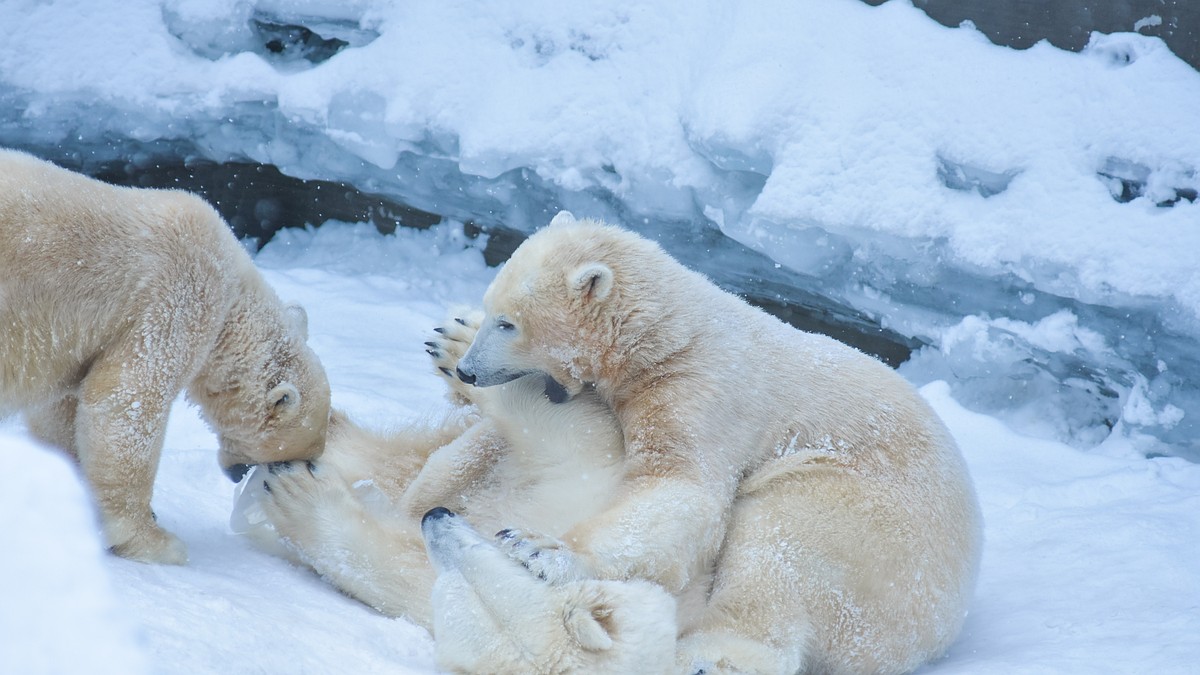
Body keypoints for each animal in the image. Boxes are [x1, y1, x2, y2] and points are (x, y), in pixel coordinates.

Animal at [0, 148, 331, 562]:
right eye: (287, 458)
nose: (237, 475)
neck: (233, 294)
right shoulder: (179, 297)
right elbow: (127, 399)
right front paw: (155, 540)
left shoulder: (80, 345)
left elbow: (62, 411)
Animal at [253, 211, 984, 672]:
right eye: (490, 310)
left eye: (510, 321)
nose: (471, 369)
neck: (673, 336)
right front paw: (449, 340)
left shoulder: (699, 393)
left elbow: (679, 489)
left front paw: (542, 549)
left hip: (866, 523)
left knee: (782, 552)